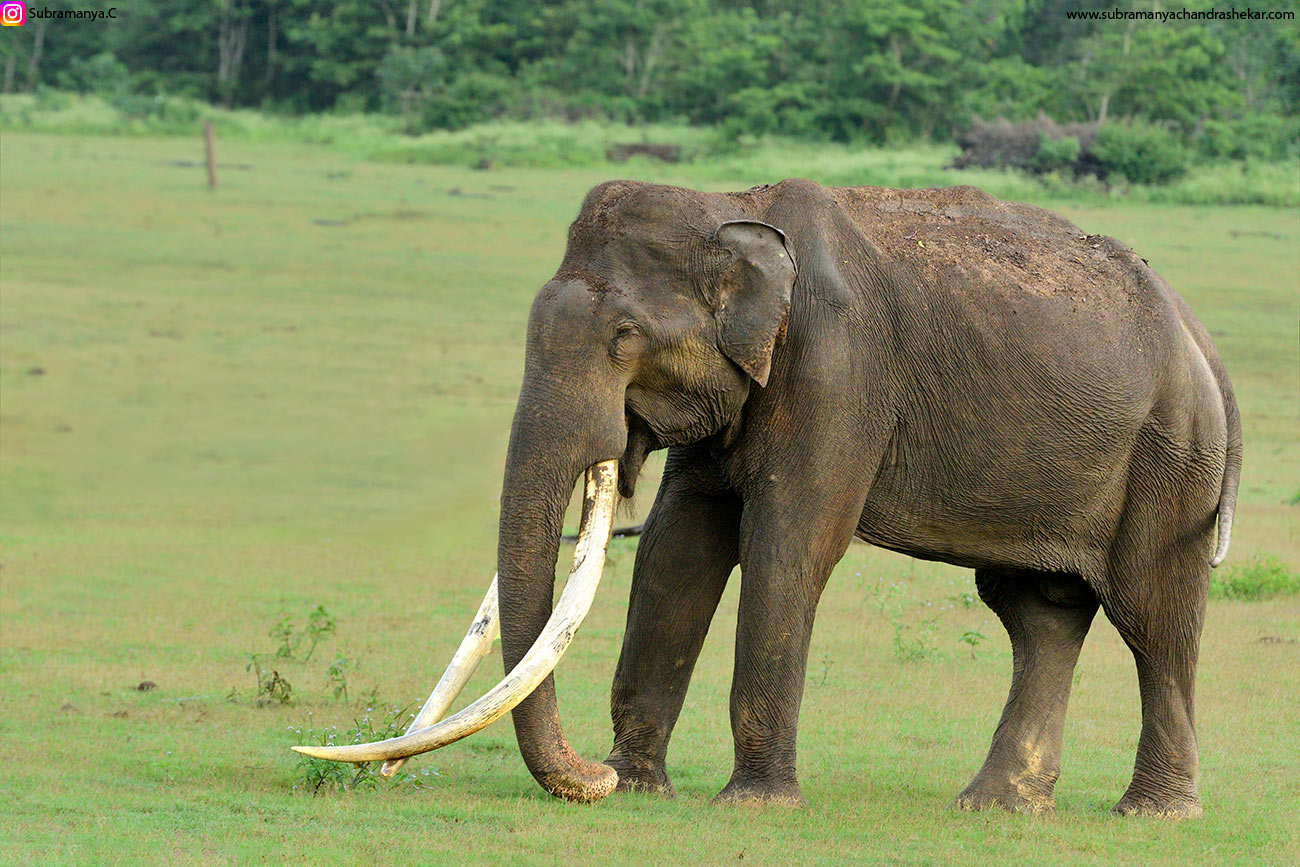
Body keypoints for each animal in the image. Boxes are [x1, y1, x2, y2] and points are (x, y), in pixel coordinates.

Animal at [295, 178, 1237, 821]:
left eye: (624, 337)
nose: (594, 777)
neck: (731, 205)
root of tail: (1198, 331)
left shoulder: (838, 369)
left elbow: (788, 545)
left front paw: (751, 803)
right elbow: (679, 547)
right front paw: (641, 786)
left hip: (1172, 454)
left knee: (1152, 614)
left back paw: (1152, 812)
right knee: (1036, 609)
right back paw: (995, 806)